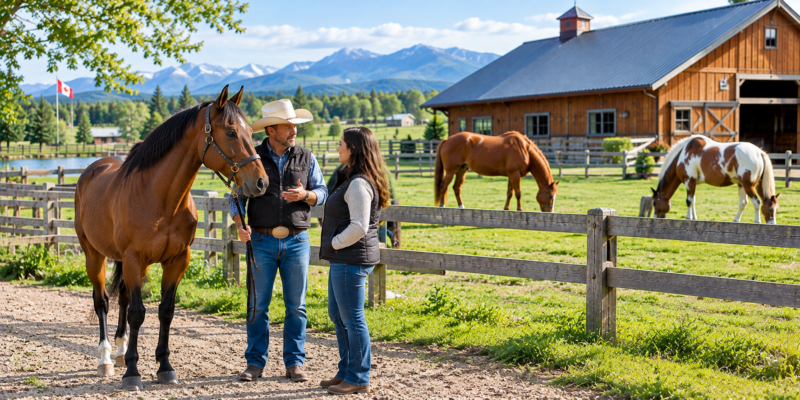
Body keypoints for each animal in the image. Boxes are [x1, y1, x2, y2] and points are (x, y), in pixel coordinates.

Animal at [75, 85, 268, 391]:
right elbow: (138, 313)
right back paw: (105, 359)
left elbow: (165, 310)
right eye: (231, 132)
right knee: (102, 301)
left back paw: (120, 353)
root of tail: (92, 170)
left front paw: (164, 367)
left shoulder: (177, 261)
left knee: (122, 299)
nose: (261, 182)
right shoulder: (134, 259)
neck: (160, 198)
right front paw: (133, 373)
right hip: (94, 256)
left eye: (250, 131)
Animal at [651, 134, 779, 224]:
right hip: (742, 185)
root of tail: (759, 152)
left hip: (748, 185)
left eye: (654, 202)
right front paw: (694, 218)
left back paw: (757, 222)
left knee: (756, 202)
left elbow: (689, 201)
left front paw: (688, 218)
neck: (683, 153)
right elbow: (693, 201)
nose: (655, 218)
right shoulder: (693, 183)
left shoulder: (689, 180)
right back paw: (736, 220)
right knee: (743, 203)